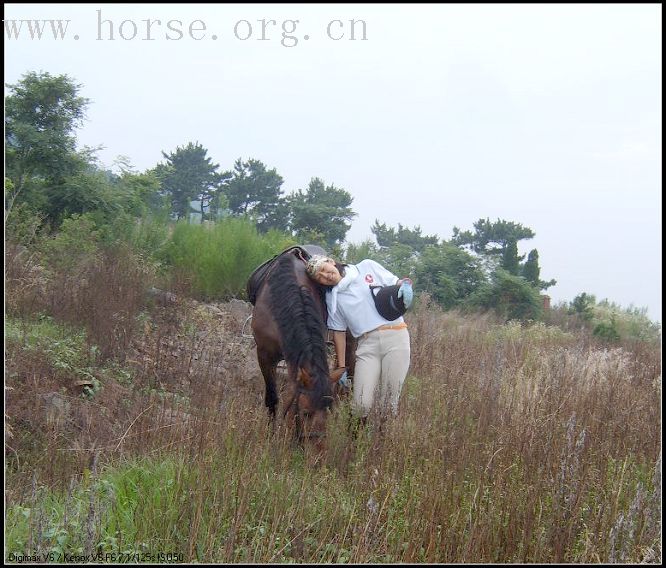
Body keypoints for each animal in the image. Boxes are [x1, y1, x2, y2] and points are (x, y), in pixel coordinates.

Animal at [246, 247, 344, 444]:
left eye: (328, 412)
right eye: (305, 413)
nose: (318, 447)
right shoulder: (265, 356)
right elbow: (272, 398)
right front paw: (271, 436)